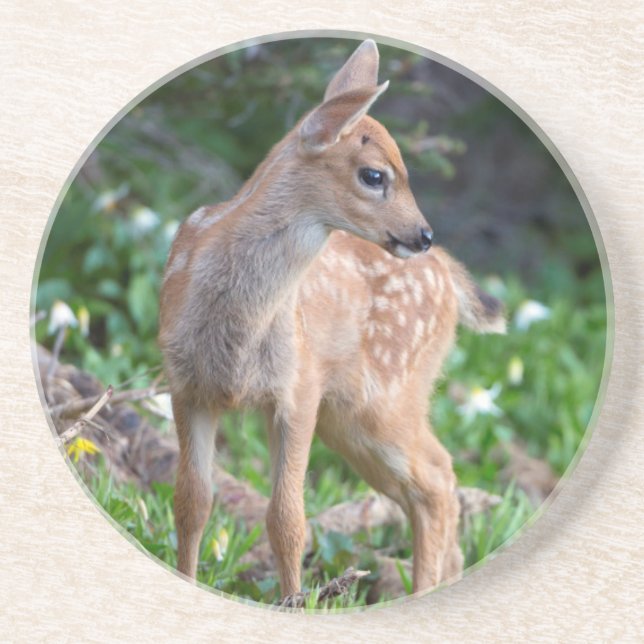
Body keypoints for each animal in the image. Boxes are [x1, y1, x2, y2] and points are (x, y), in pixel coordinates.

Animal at [159, 39, 505, 603]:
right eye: (375, 174)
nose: (423, 233)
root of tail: (449, 274)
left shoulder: (298, 388)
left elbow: (287, 518)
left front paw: (294, 606)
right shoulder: (186, 385)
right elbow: (192, 503)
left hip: (384, 398)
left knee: (435, 479)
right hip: (354, 418)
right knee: (437, 479)